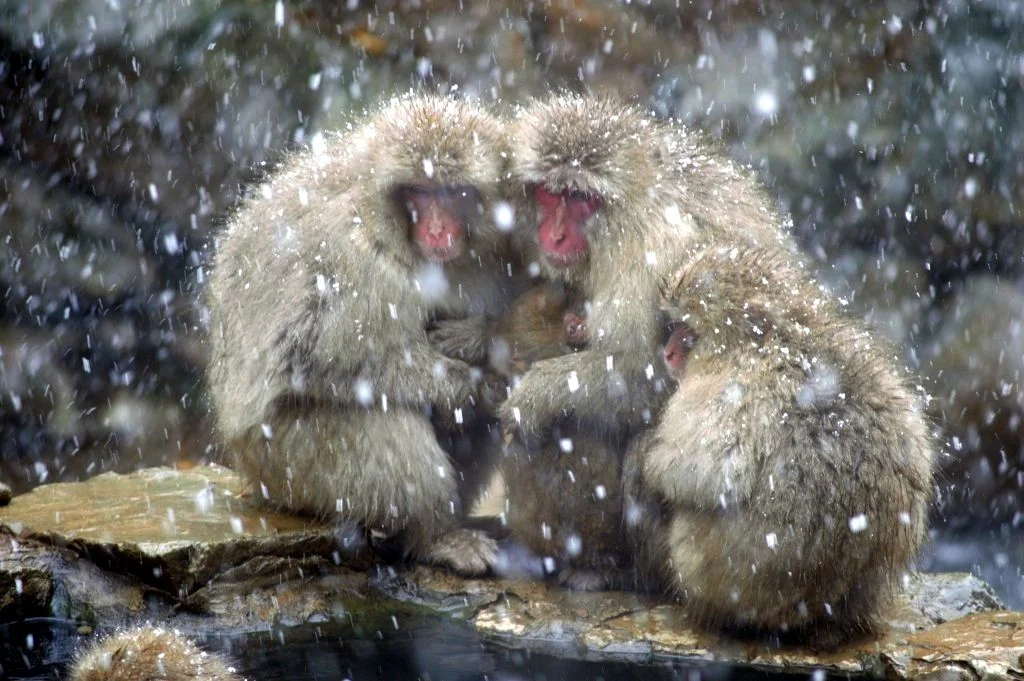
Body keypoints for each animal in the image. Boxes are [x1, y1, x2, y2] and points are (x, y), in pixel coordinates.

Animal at [205, 94, 520, 576]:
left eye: (456, 194)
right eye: (419, 192)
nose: (437, 230)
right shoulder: (356, 261)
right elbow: (313, 357)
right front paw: (468, 386)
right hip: (284, 464)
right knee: (385, 429)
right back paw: (433, 535)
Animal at [623, 243, 935, 645]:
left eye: (688, 333)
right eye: (675, 327)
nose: (668, 353)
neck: (775, 340)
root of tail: (820, 612)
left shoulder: (730, 391)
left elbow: (706, 473)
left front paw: (650, 458)